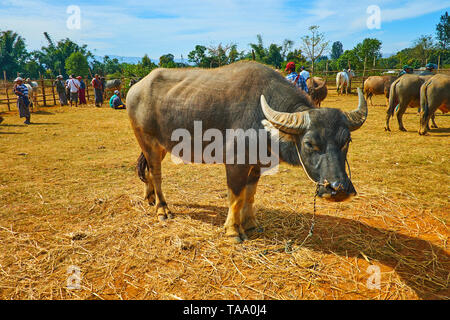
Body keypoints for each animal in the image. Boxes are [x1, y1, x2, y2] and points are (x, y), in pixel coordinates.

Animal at [127, 60, 370, 242]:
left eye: (346, 141)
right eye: (309, 143)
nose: (338, 189)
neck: (263, 121)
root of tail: (135, 88)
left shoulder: (257, 165)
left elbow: (250, 195)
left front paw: (250, 224)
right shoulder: (236, 162)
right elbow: (236, 195)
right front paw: (233, 230)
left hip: (160, 145)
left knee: (148, 170)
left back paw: (149, 197)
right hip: (147, 140)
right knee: (156, 173)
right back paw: (162, 209)